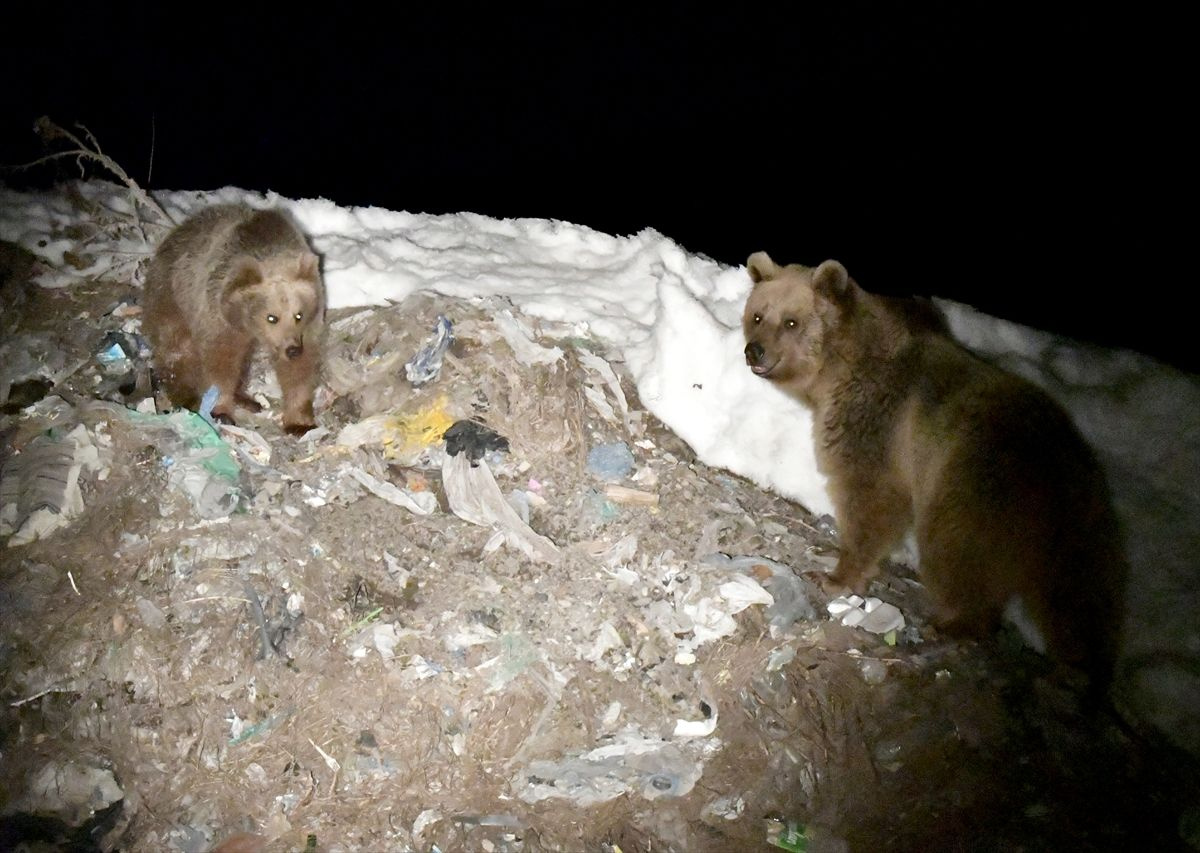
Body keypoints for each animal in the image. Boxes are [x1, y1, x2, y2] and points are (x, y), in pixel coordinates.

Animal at [141, 203, 324, 436]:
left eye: (298, 315)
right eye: (271, 317)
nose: (292, 350)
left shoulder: (309, 325)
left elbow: (300, 370)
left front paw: (300, 422)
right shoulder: (219, 316)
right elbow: (220, 361)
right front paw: (219, 410)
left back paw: (247, 400)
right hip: (171, 295)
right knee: (177, 348)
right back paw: (186, 396)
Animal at [744, 253, 1128, 695]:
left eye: (791, 322)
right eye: (757, 315)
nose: (754, 351)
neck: (838, 366)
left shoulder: (876, 418)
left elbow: (868, 494)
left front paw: (838, 575)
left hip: (973, 488)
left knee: (955, 553)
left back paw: (953, 624)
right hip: (1083, 528)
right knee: (1078, 597)